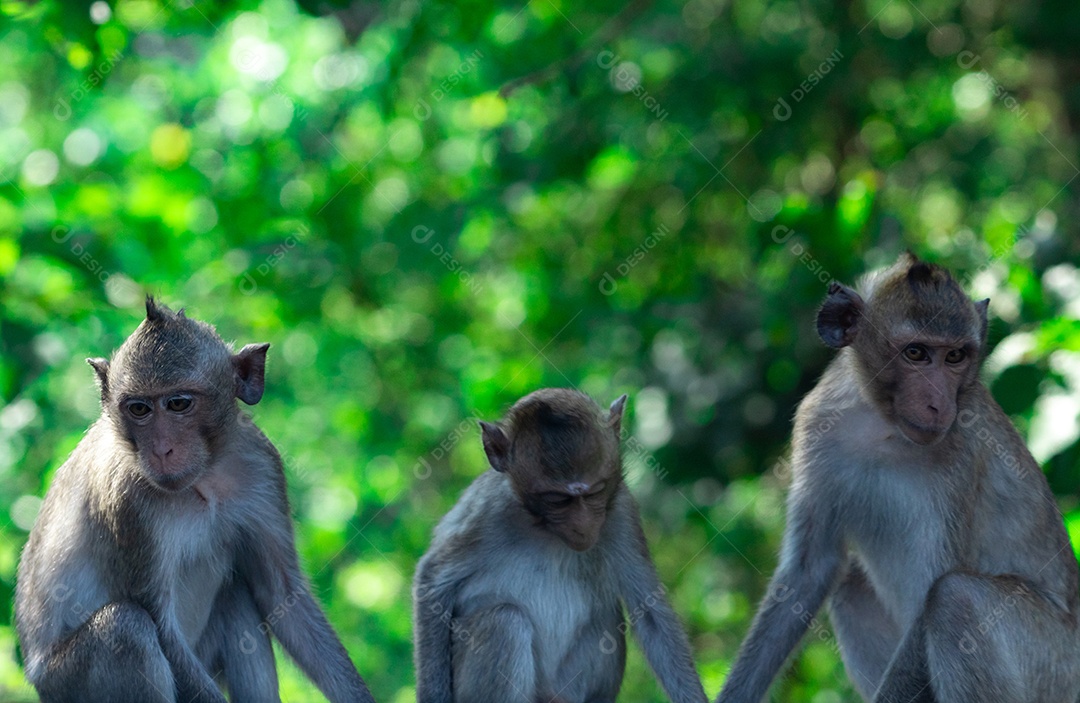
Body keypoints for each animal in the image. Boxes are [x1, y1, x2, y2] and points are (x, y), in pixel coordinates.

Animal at [15, 298, 375, 703]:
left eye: (178, 404)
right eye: (139, 409)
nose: (161, 449)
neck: (203, 480)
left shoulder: (263, 465)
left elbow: (281, 594)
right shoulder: (126, 501)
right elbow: (161, 627)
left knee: (236, 595)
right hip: (66, 683)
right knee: (127, 627)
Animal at [412, 388, 707, 703]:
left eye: (596, 492)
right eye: (557, 500)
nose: (583, 526)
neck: (543, 527)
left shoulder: (621, 512)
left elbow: (650, 611)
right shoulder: (487, 511)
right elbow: (432, 583)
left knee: (604, 617)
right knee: (505, 621)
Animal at [715, 253, 1080, 703]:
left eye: (955, 357)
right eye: (916, 353)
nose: (938, 404)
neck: (882, 425)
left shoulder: (962, 448)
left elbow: (930, 594)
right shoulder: (817, 422)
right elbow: (809, 570)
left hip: (1057, 667)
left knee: (955, 599)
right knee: (851, 583)